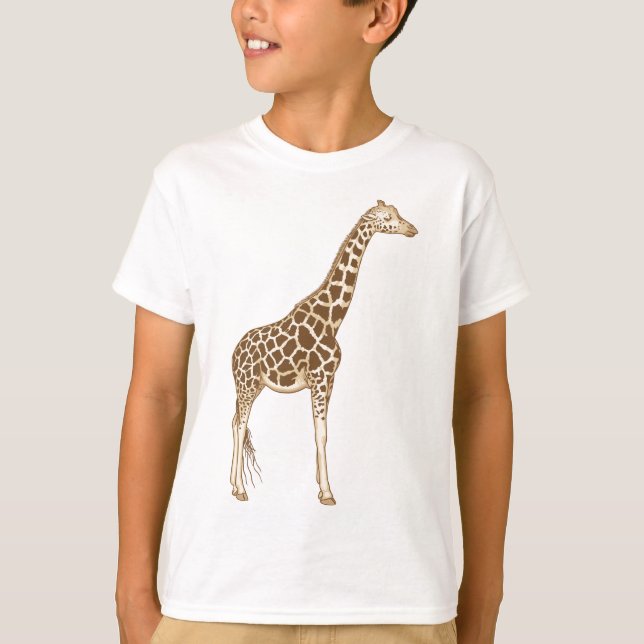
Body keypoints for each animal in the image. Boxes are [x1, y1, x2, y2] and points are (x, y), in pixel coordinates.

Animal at [230, 200, 418, 505]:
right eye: (388, 217)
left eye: (398, 214)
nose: (412, 229)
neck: (331, 320)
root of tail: (234, 352)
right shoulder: (318, 379)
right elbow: (320, 434)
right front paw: (327, 493)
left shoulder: (330, 380)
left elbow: (324, 433)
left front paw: (321, 485)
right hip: (246, 385)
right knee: (240, 425)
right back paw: (240, 490)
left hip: (254, 386)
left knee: (236, 422)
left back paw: (235, 486)